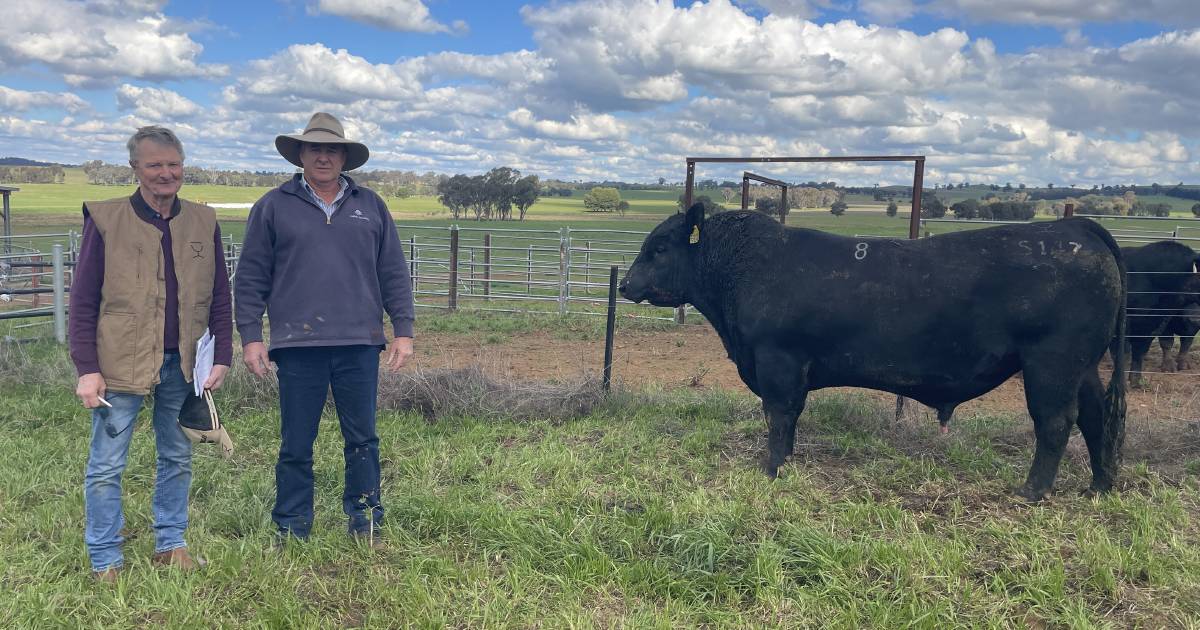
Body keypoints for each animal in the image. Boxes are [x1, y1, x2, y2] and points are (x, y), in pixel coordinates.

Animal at [624, 206, 1128, 501]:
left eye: (659, 248)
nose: (626, 284)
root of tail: (1073, 226)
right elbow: (790, 418)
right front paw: (785, 461)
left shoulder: (777, 360)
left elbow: (779, 415)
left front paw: (772, 468)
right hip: (1083, 366)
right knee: (1095, 415)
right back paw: (1099, 485)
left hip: (1052, 361)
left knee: (1056, 422)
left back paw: (1032, 492)